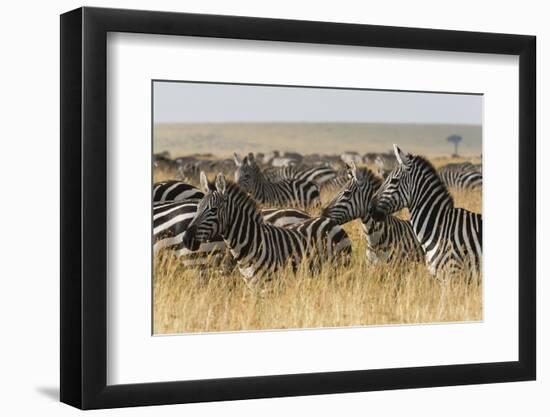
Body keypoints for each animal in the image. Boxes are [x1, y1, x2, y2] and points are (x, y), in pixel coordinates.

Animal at [181, 173, 354, 286]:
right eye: (197, 207)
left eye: (213, 210)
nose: (186, 239)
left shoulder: (268, 285)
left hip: (338, 270)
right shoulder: (252, 285)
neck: (250, 242)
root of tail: (330, 221)